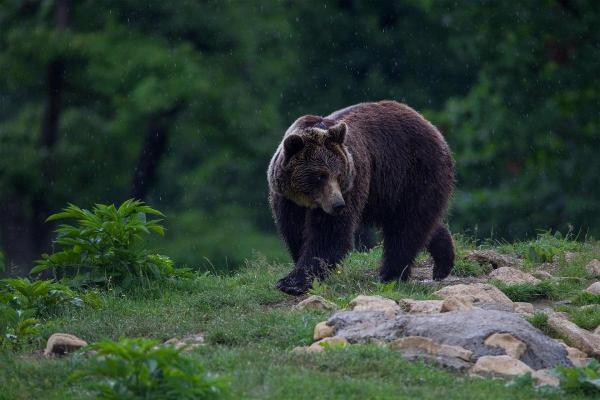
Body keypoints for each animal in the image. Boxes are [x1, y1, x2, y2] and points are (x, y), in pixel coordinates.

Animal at [268, 101, 454, 294]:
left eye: (339, 175)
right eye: (320, 176)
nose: (338, 205)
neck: (307, 199)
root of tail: (431, 126)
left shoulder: (352, 183)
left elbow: (329, 234)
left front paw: (292, 282)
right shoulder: (287, 199)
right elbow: (294, 230)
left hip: (413, 173)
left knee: (407, 227)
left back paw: (390, 275)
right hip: (387, 193)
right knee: (420, 223)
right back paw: (443, 262)